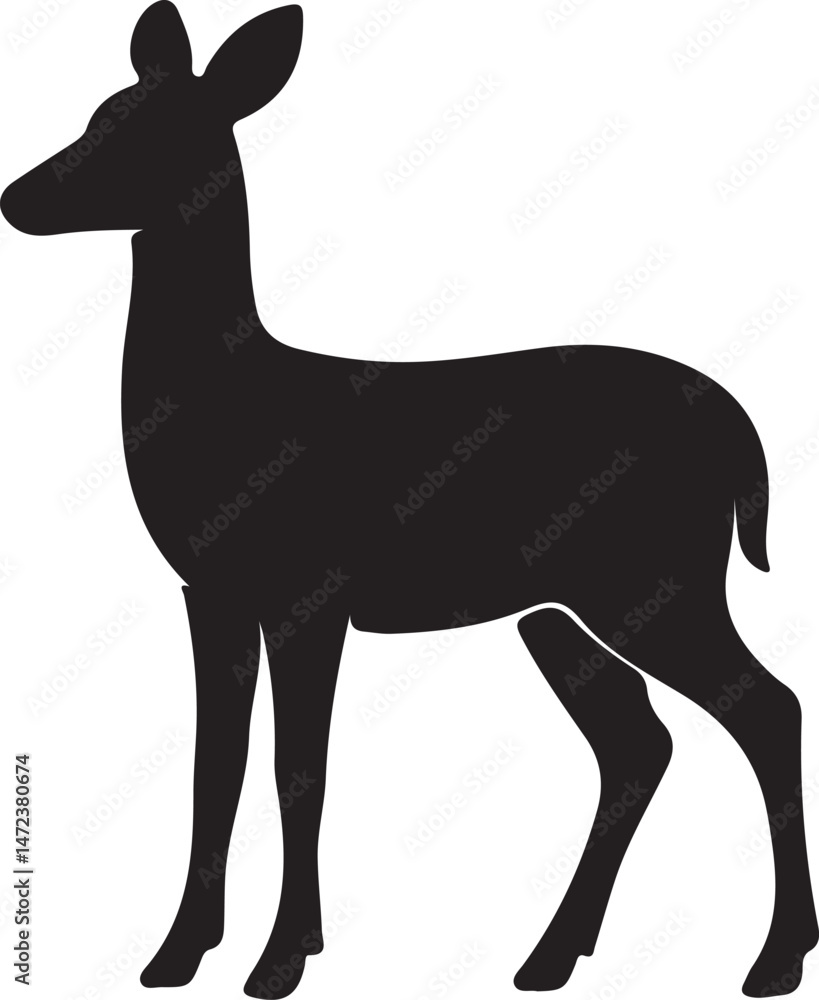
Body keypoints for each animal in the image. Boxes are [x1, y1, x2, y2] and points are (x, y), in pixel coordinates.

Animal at [2, 3, 817, 997]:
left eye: (151, 130)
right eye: (99, 113)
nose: (16, 198)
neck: (228, 403)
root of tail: (742, 433)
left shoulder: (309, 588)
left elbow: (297, 768)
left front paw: (281, 959)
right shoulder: (211, 591)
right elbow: (212, 767)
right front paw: (176, 953)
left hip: (653, 581)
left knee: (766, 708)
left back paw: (773, 959)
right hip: (558, 609)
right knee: (637, 741)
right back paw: (551, 955)